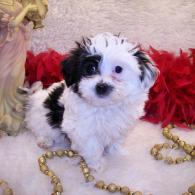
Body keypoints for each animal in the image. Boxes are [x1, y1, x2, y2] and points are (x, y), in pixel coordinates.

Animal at [25, 32, 158, 170]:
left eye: (118, 69)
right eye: (90, 68)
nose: (102, 86)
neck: (105, 107)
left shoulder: (120, 125)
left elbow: (116, 140)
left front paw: (116, 153)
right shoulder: (83, 130)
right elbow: (92, 147)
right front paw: (97, 164)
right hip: (40, 115)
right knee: (40, 128)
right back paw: (45, 140)